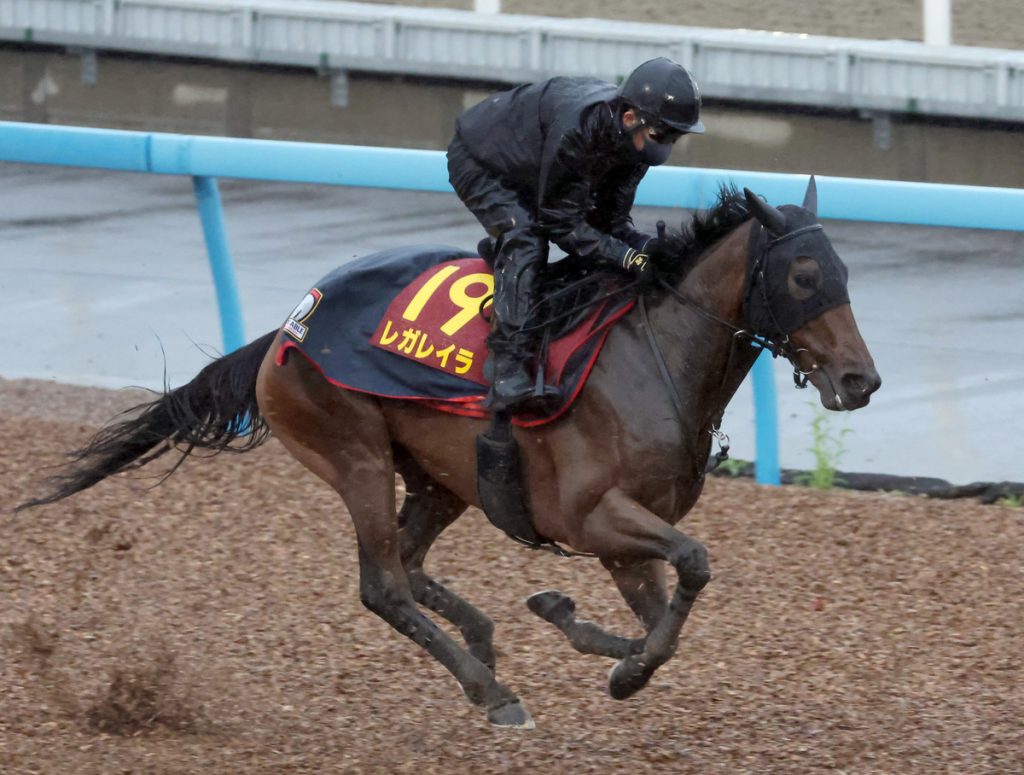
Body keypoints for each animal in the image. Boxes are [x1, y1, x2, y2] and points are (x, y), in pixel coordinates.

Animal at [19, 180, 880, 724]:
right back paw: (490, 691)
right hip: (355, 453)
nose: (860, 379)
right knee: (382, 584)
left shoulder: (620, 536)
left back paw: (486, 644)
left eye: (846, 272)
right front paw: (618, 664)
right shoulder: (592, 516)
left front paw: (581, 629)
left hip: (443, 480)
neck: (652, 356)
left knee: (408, 561)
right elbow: (691, 571)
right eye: (805, 275)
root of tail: (289, 324)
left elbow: (661, 612)